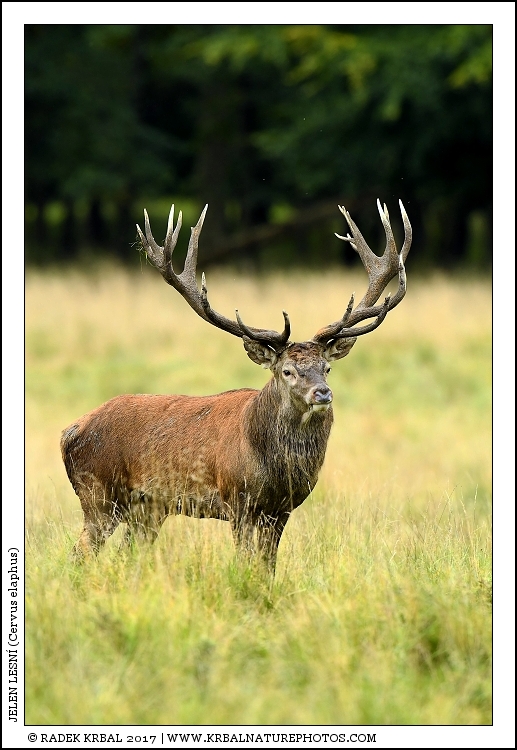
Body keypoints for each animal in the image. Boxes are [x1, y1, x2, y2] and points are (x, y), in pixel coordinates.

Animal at [61, 199, 411, 573]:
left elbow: (267, 566)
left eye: (326, 368)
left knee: (126, 554)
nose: (323, 393)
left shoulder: (281, 509)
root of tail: (70, 431)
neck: (273, 467)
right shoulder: (237, 500)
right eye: (287, 371)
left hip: (148, 508)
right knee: (79, 554)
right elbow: (245, 562)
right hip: (98, 494)